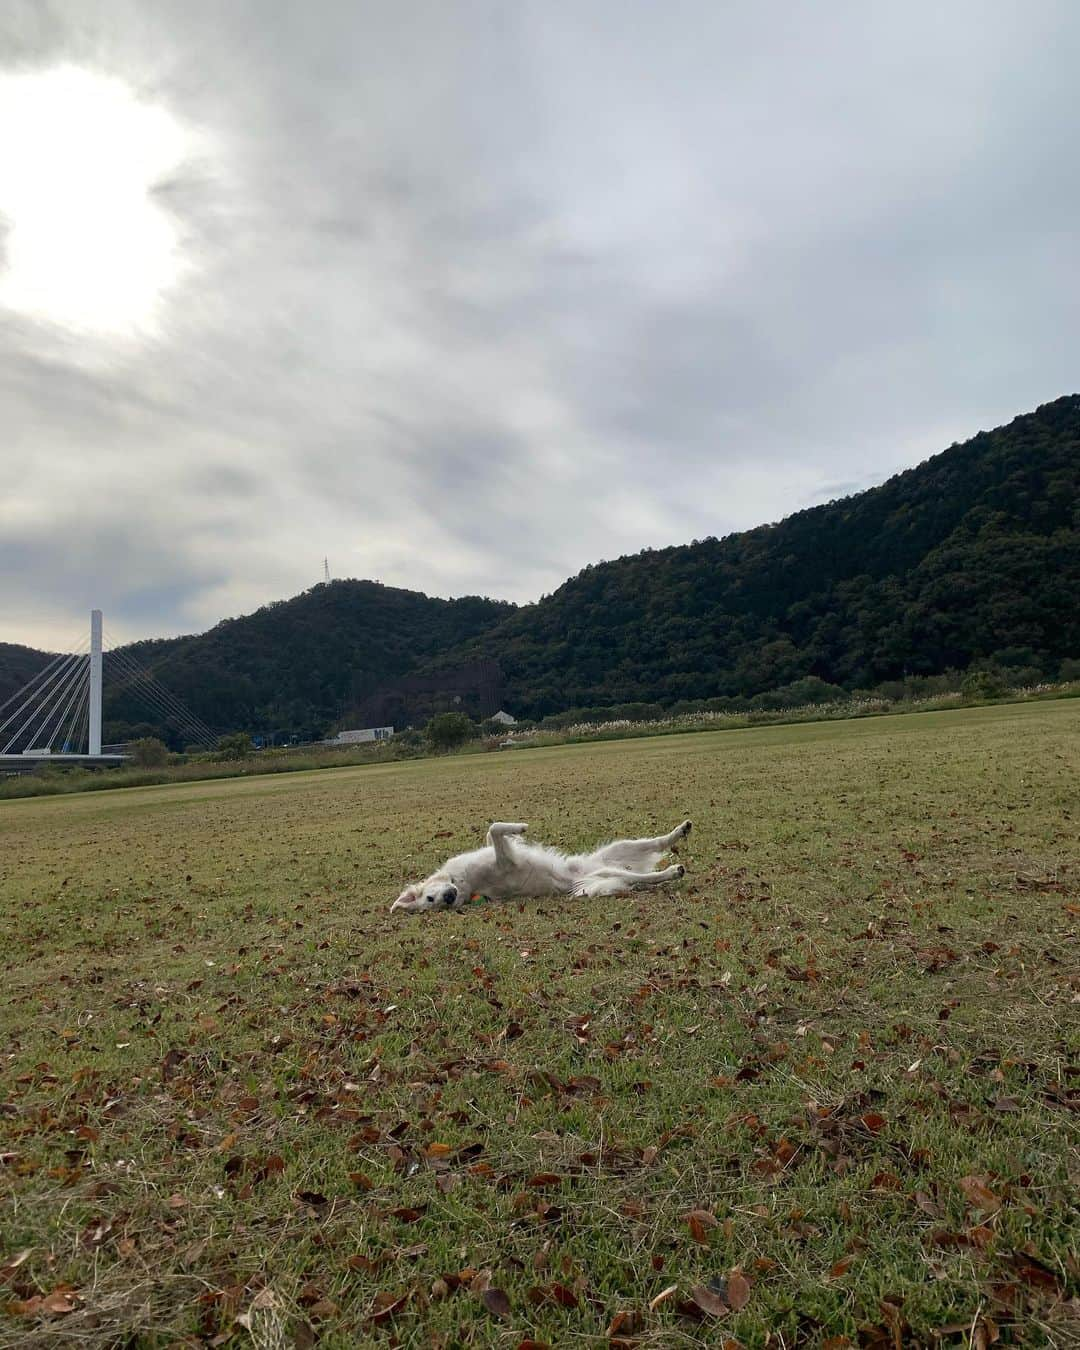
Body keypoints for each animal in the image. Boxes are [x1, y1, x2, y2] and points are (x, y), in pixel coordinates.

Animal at [391, 815, 691, 912]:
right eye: (432, 903)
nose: (449, 898)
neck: (463, 883)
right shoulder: (505, 862)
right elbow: (495, 830)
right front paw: (520, 828)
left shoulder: (494, 851)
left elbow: (492, 830)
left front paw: (519, 829)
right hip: (607, 872)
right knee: (643, 879)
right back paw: (673, 871)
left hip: (620, 848)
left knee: (655, 843)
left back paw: (681, 830)